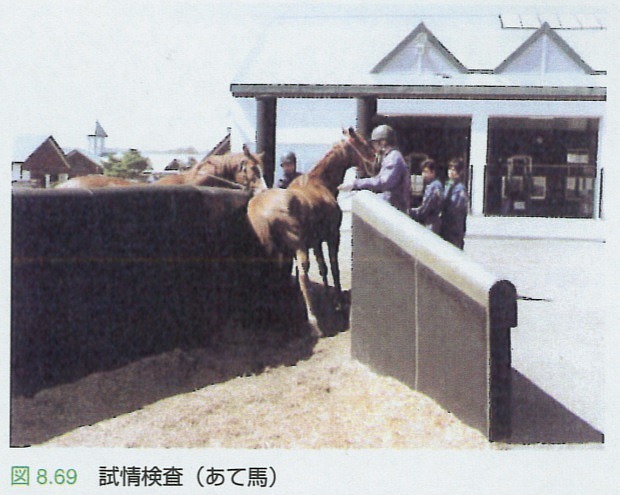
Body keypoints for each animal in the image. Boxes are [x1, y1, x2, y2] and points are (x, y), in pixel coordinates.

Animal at [246, 127, 372, 330]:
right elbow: (333, 267)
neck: (320, 182)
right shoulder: (332, 236)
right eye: (363, 143)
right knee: (303, 276)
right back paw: (313, 319)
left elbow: (323, 268)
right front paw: (338, 300)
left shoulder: (316, 241)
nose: (375, 159)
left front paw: (328, 297)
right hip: (298, 247)